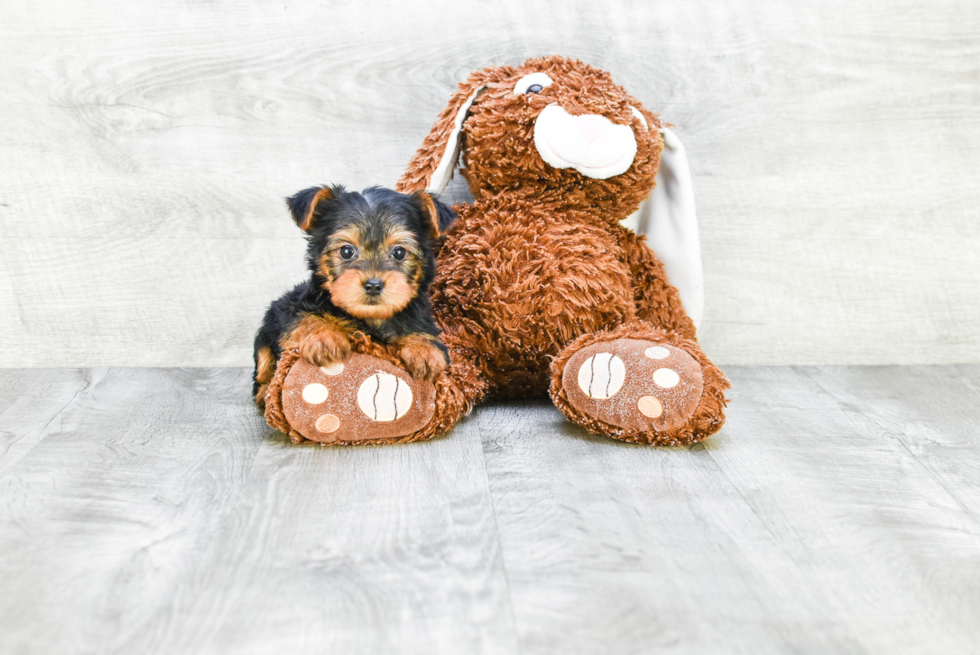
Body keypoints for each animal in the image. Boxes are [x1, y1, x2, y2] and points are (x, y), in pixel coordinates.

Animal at [251, 184, 454, 408]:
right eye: (346, 251)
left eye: (399, 252)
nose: (373, 285)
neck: (369, 318)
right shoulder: (289, 309)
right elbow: (303, 317)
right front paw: (324, 337)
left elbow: (420, 328)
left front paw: (424, 349)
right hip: (266, 332)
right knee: (263, 365)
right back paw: (265, 393)